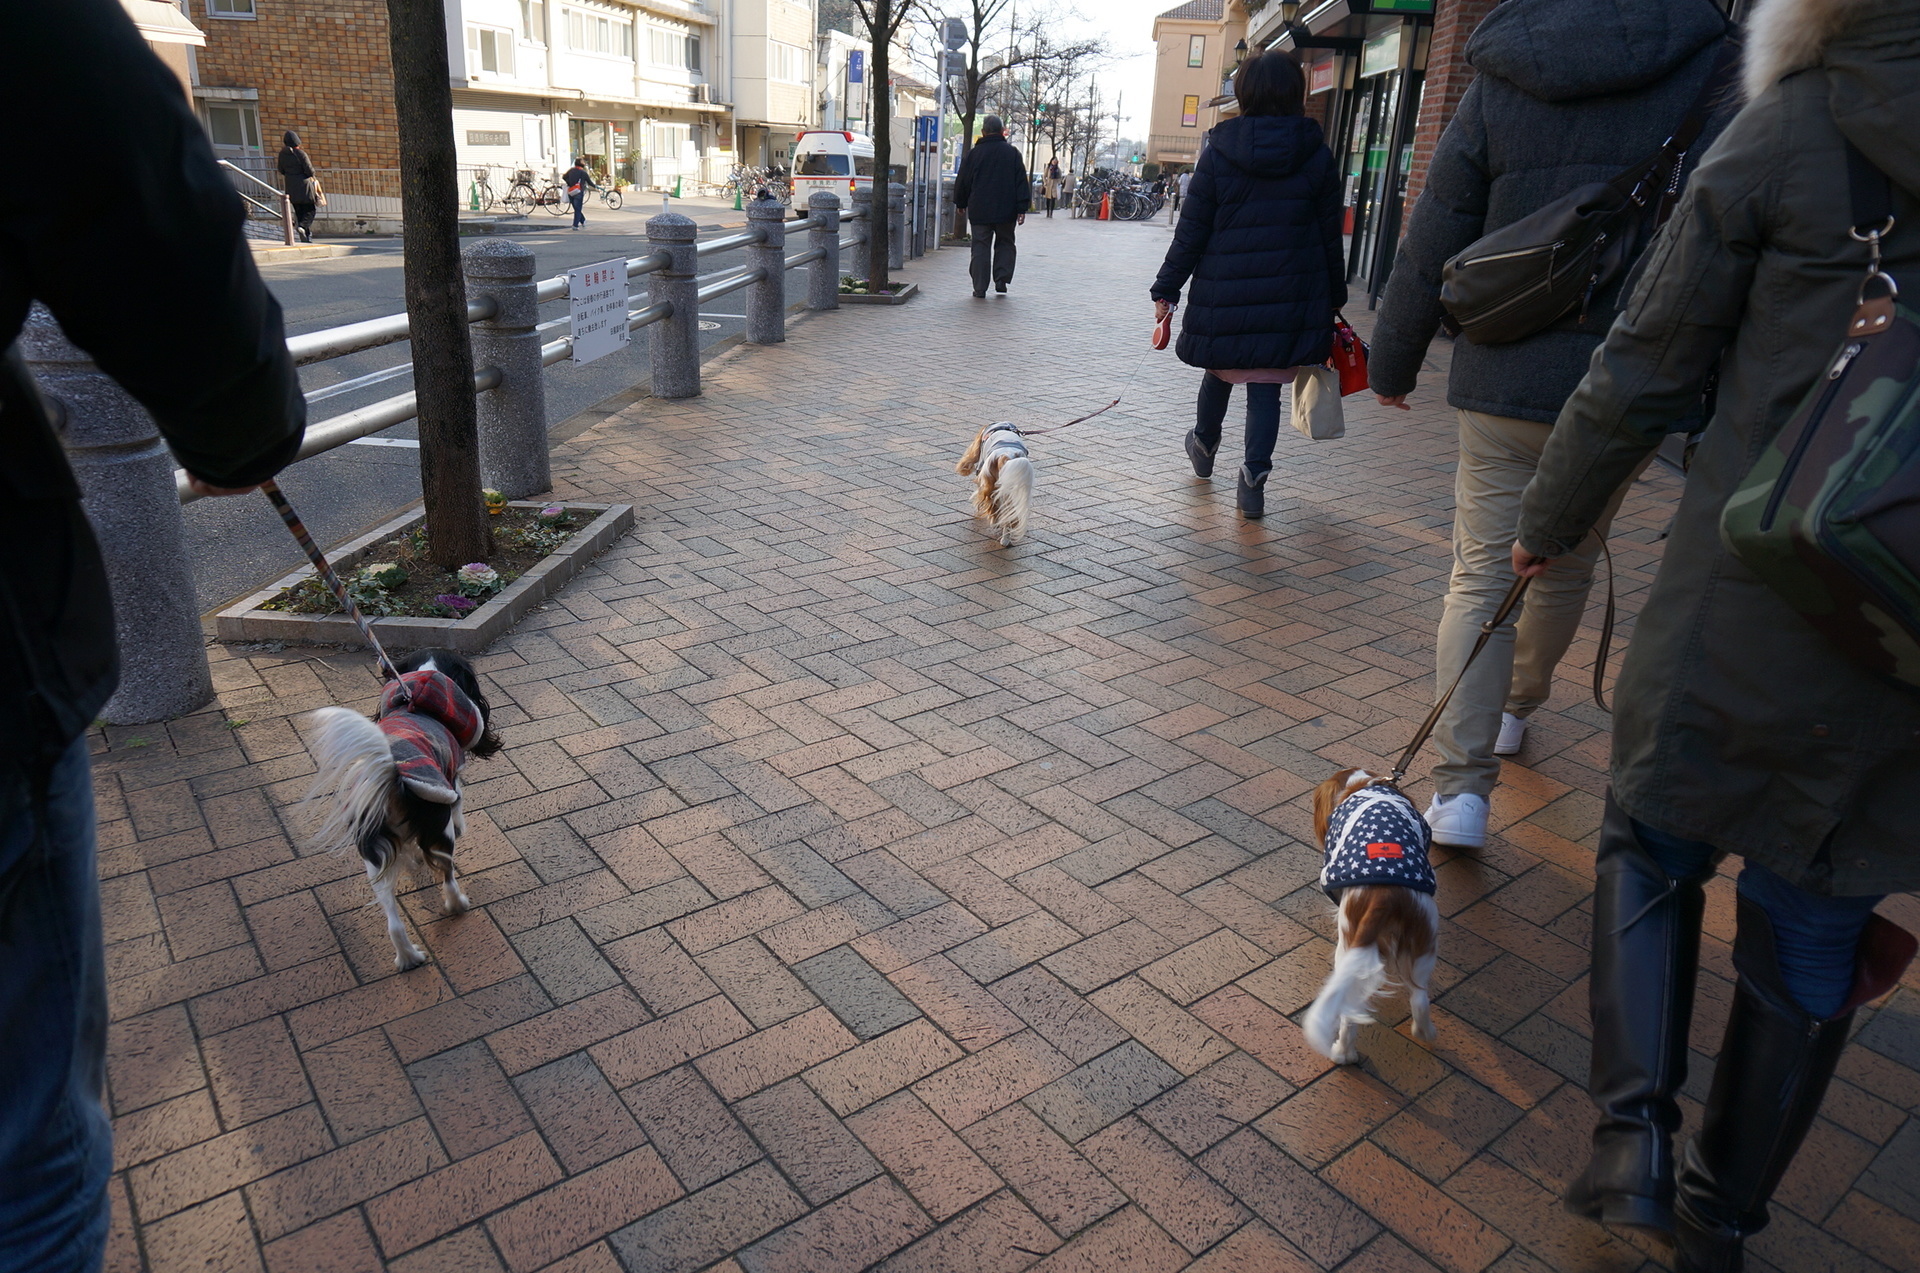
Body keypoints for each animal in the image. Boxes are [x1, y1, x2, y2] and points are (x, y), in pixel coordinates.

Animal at [303, 652, 499, 971]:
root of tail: (393, 778)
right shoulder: (452, 776)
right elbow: (458, 801)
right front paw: (461, 825)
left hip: (373, 855)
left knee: (392, 919)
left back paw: (408, 957)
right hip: (439, 828)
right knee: (446, 873)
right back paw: (457, 904)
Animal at [1305, 768, 1443, 1067]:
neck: (1365, 784)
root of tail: (1386, 893)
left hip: (1349, 943)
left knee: (1348, 1011)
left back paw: (1342, 1053)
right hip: (1424, 940)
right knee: (1420, 999)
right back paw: (1425, 1032)